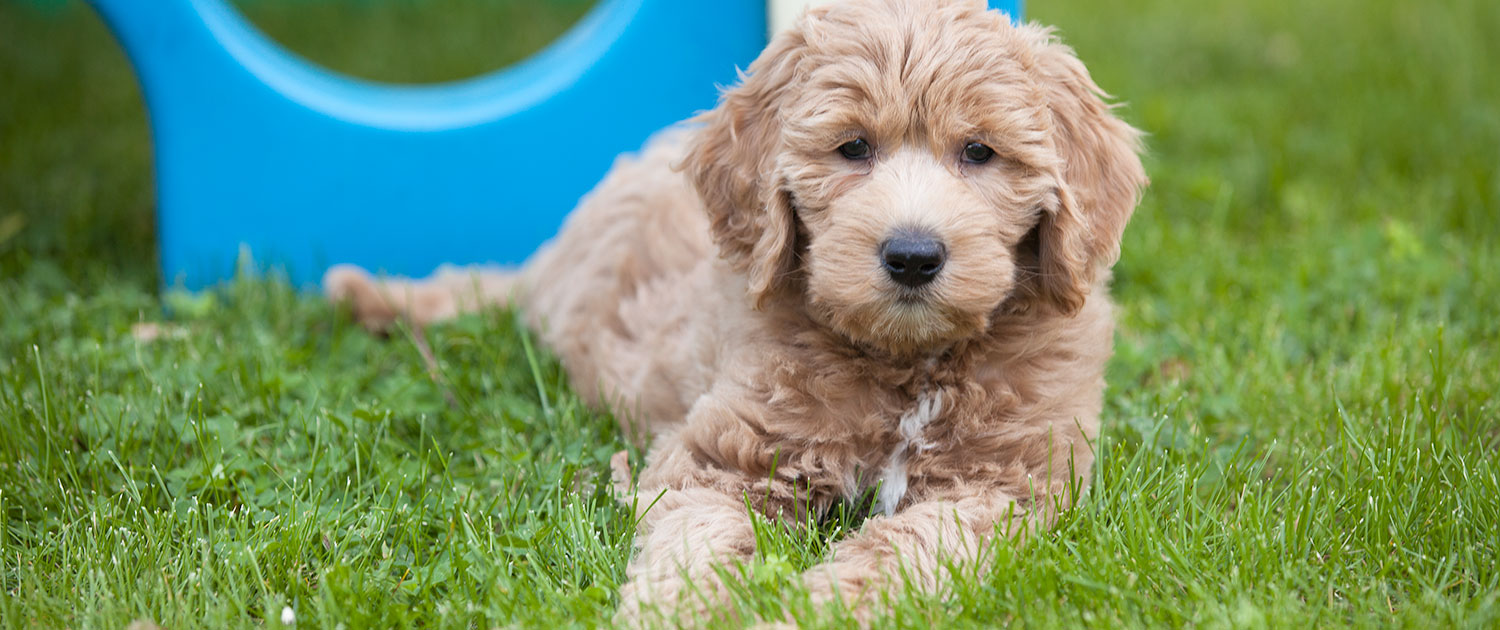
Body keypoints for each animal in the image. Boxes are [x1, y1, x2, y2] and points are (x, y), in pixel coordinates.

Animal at [328, 0, 1146, 621]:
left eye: (979, 152)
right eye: (853, 148)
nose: (913, 256)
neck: (904, 364)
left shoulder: (1004, 487)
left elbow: (907, 548)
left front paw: (816, 608)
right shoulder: (717, 458)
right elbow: (694, 541)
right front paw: (682, 612)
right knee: (493, 287)